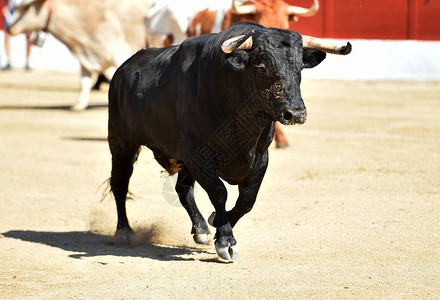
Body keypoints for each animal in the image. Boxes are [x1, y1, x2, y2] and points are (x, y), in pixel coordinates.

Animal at [5, 0, 151, 110]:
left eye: (26, 7)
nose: (9, 28)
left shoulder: (119, 53)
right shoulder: (85, 61)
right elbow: (83, 82)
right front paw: (79, 105)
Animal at [107, 22, 350, 260]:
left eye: (299, 67)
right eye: (262, 67)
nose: (296, 113)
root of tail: (123, 69)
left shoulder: (260, 156)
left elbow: (247, 200)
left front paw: (215, 222)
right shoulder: (198, 154)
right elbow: (219, 192)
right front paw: (226, 241)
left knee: (183, 189)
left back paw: (201, 229)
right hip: (122, 143)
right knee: (120, 182)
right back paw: (124, 232)